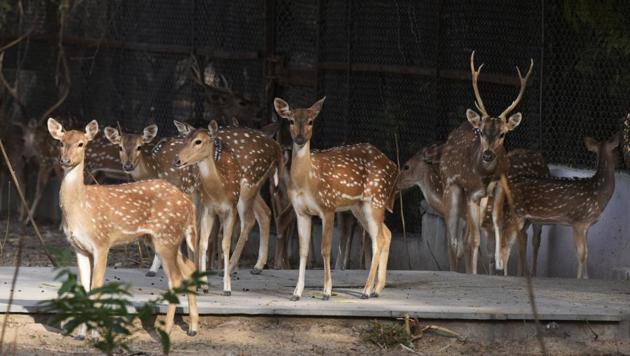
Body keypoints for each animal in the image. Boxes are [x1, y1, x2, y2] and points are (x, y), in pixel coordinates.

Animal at [47, 118, 199, 338]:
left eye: (81, 144)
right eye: (61, 142)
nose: (65, 160)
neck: (80, 208)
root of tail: (188, 203)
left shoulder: (102, 242)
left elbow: (96, 287)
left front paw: (95, 334)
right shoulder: (79, 248)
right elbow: (84, 288)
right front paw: (81, 334)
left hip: (167, 236)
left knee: (176, 279)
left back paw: (167, 329)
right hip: (161, 239)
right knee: (189, 268)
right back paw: (194, 328)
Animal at [173, 119, 282, 294]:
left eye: (198, 142)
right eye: (184, 140)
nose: (177, 161)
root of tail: (276, 147)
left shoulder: (193, 191)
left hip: (248, 184)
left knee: (249, 220)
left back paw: (229, 269)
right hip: (253, 187)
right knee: (265, 212)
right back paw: (257, 266)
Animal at [272, 97, 400, 300]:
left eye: (311, 121)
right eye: (291, 121)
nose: (299, 139)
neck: (307, 180)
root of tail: (394, 167)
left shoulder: (328, 206)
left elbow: (325, 249)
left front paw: (327, 291)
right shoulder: (301, 211)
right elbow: (303, 250)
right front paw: (297, 292)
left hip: (375, 199)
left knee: (378, 239)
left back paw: (366, 291)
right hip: (359, 207)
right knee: (386, 234)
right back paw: (376, 289)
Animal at [442, 50, 536, 272]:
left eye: (502, 134)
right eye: (481, 132)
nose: (487, 155)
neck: (485, 177)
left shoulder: (500, 187)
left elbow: (497, 225)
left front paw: (500, 263)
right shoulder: (470, 192)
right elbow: (474, 240)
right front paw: (473, 272)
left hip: (479, 199)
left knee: (463, 237)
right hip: (451, 188)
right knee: (452, 238)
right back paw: (454, 269)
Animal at [498, 134, 624, 278]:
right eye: (617, 150)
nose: (622, 162)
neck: (598, 192)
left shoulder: (586, 225)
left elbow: (587, 253)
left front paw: (586, 278)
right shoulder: (578, 221)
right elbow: (581, 254)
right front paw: (579, 278)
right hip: (515, 214)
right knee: (505, 245)